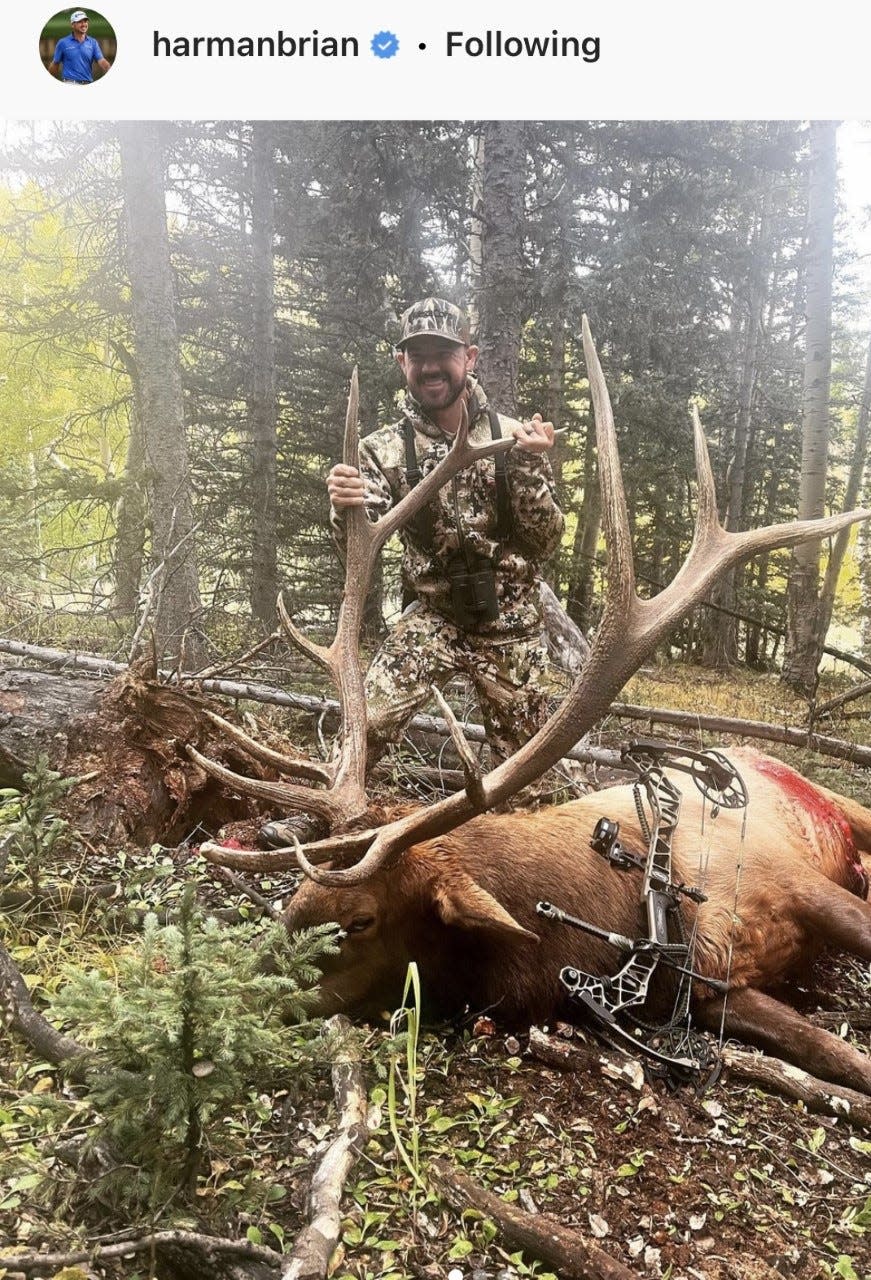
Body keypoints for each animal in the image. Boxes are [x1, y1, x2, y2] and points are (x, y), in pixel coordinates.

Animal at [193, 317, 871, 1090]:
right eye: (295, 900)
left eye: (359, 919)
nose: (230, 985)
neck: (620, 908)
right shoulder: (706, 993)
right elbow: (833, 1055)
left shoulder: (792, 880)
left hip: (839, 803)